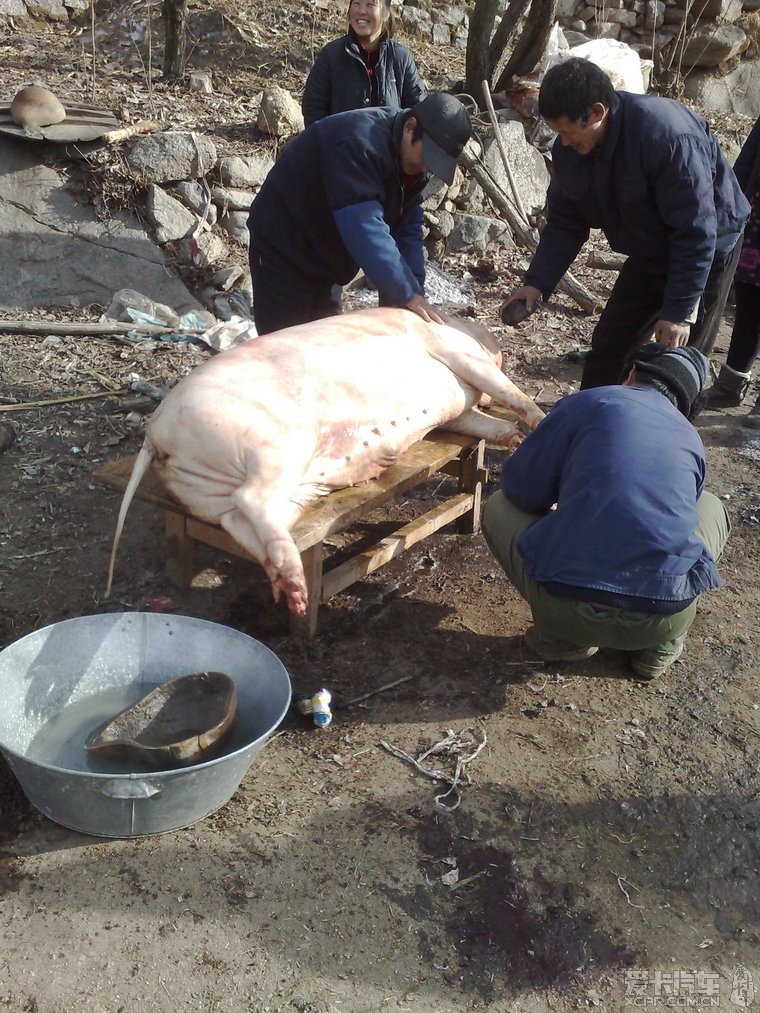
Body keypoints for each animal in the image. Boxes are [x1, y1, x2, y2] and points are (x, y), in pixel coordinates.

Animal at [107, 303, 547, 611]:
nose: (497, 339)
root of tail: (155, 434)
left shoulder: (457, 413)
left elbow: (480, 420)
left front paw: (515, 436)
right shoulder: (451, 348)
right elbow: (508, 390)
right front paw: (539, 423)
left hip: (231, 490)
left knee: (242, 520)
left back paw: (290, 590)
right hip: (276, 443)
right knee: (251, 499)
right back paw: (298, 590)